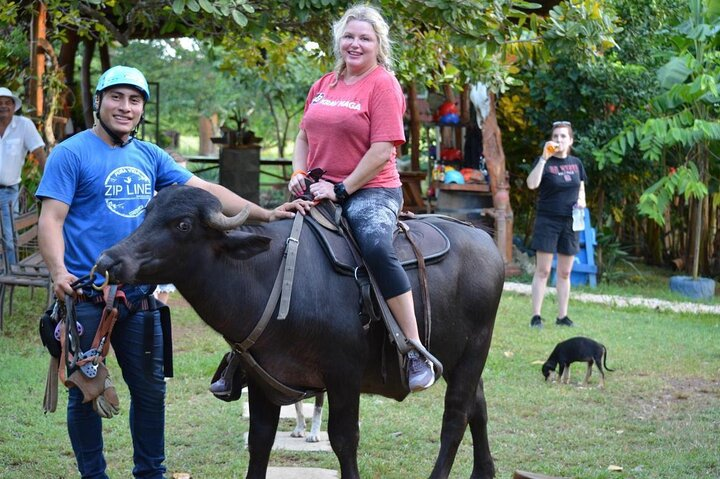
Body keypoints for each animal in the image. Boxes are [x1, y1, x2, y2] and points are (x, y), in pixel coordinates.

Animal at [94, 185, 500, 479]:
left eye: (182, 224)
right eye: (147, 214)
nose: (108, 261)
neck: (268, 277)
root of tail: (486, 241)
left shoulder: (344, 377)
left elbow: (344, 440)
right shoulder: (263, 380)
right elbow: (259, 441)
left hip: (474, 351)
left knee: (456, 416)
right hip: (460, 358)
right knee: (478, 406)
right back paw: (483, 472)